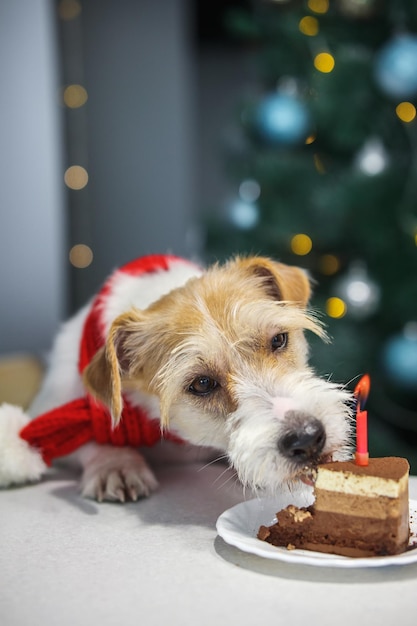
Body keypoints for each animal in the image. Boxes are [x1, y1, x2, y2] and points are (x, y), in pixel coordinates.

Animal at [22, 251, 352, 500]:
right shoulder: (50, 413)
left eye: (279, 340)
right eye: (202, 384)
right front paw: (115, 463)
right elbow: (86, 437)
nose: (307, 438)